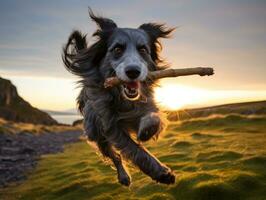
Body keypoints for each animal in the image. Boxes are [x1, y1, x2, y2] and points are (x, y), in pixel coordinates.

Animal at [61, 9, 175, 186]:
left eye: (143, 49)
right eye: (117, 49)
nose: (133, 71)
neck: (124, 100)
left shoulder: (146, 105)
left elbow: (156, 117)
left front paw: (147, 129)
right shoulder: (110, 125)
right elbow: (134, 150)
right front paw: (160, 171)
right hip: (96, 133)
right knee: (114, 156)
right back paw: (123, 176)